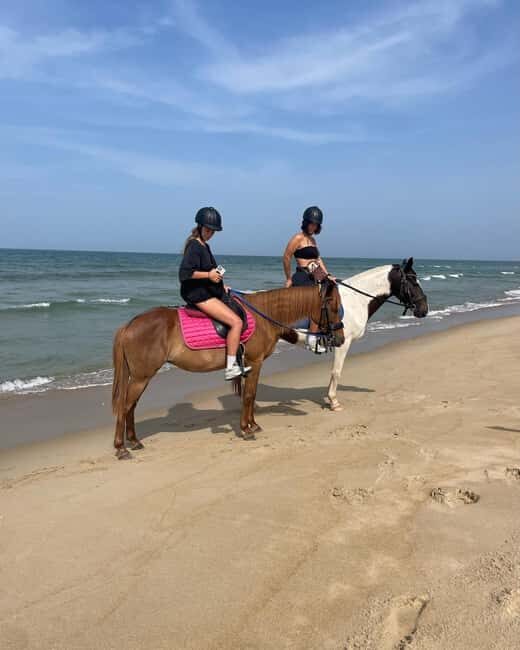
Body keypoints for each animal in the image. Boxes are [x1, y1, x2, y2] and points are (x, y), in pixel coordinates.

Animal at [112, 281, 344, 458]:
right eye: (333, 307)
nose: (340, 339)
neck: (264, 315)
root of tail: (129, 325)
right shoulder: (255, 362)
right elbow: (249, 395)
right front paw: (246, 429)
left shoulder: (252, 365)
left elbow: (251, 395)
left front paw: (253, 424)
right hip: (141, 377)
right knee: (125, 407)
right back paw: (121, 448)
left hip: (141, 377)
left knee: (131, 406)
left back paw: (134, 441)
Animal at [319, 258, 429, 411]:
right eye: (413, 282)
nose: (424, 309)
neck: (355, 300)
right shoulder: (343, 343)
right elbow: (336, 372)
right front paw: (333, 401)